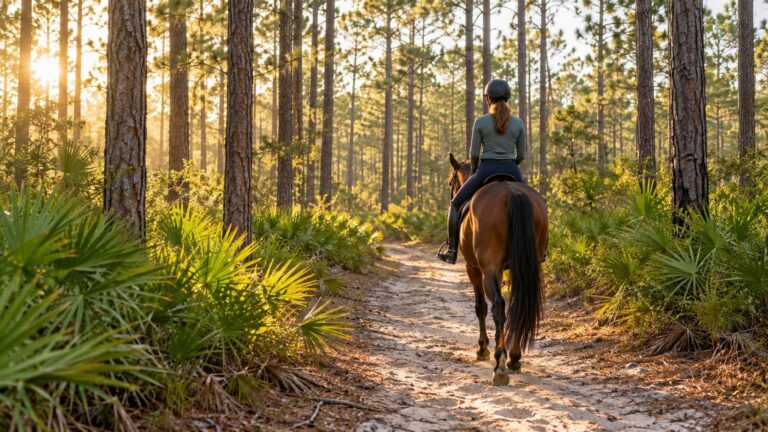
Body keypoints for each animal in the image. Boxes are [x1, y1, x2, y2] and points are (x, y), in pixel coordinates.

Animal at [448, 153, 548, 386]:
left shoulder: (473, 268)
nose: (452, 194)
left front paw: (482, 348)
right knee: (518, 304)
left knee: (499, 307)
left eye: (451, 182)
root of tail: (514, 193)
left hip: (488, 268)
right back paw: (514, 358)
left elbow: (481, 307)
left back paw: (499, 364)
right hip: (527, 265)